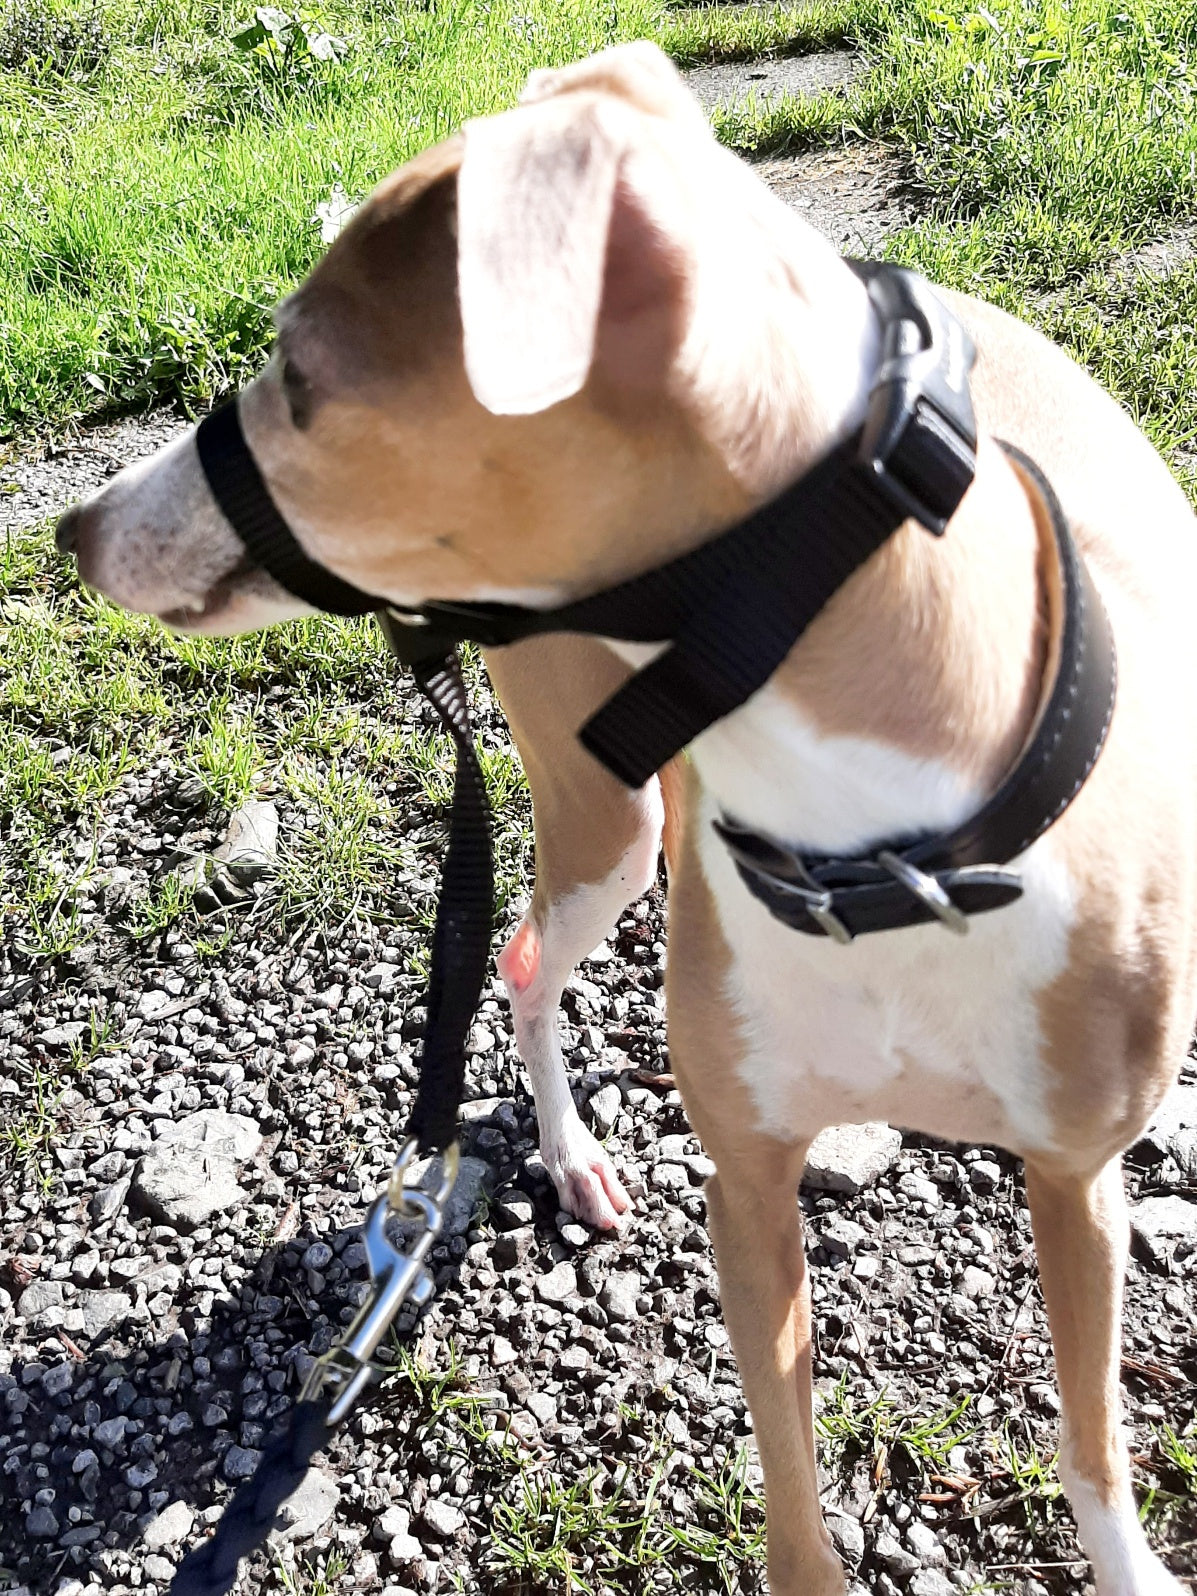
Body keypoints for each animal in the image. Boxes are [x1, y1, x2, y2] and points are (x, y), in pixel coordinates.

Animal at [58, 40, 1197, 1596]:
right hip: (607, 816)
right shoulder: (750, 1190)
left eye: (294, 371)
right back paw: (574, 1156)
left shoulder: (1078, 1178)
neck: (884, 860)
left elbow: (1093, 1449)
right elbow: (793, 1508)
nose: (75, 530)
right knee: (527, 960)